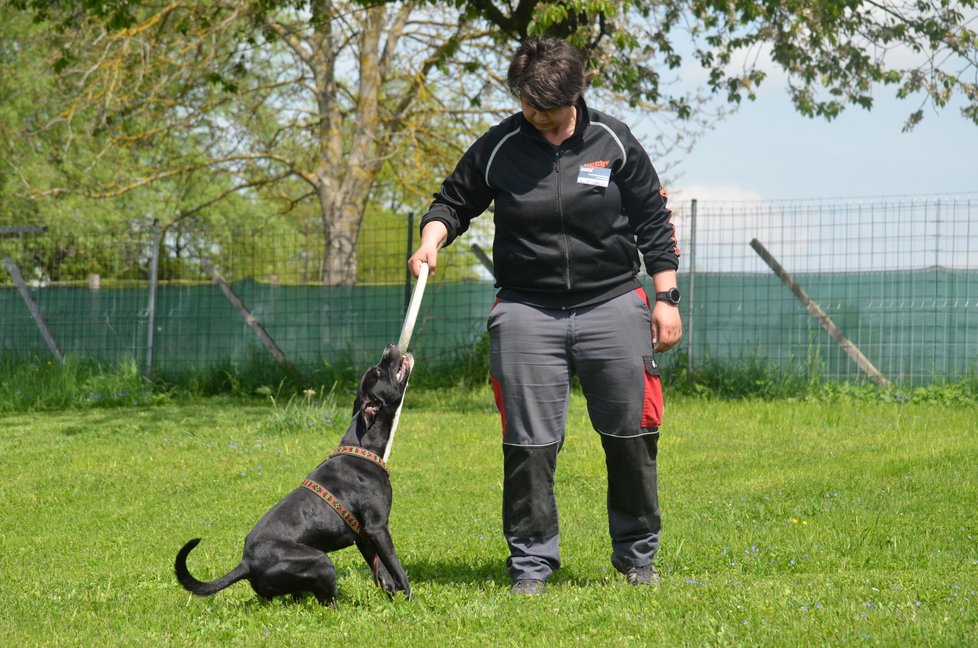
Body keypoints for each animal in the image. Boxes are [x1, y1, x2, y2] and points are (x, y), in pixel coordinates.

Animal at [175, 346, 412, 604]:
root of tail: (246, 564)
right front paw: (412, 600)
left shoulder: (363, 535)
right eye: (378, 371)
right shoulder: (378, 528)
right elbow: (397, 568)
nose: (389, 347)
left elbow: (382, 572)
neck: (362, 448)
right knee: (327, 603)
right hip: (320, 560)